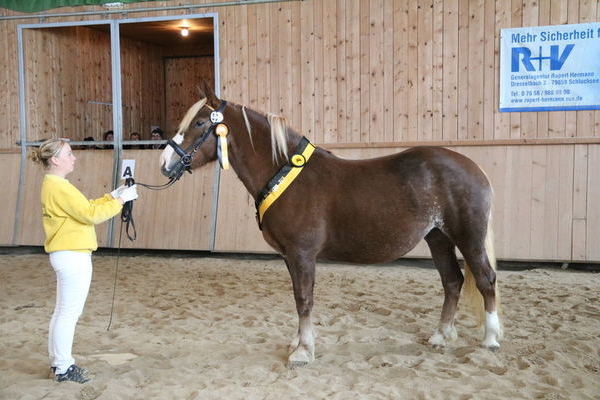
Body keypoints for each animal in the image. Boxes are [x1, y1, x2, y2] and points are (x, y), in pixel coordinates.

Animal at [159, 83, 502, 368]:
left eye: (200, 123)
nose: (164, 163)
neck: (284, 173)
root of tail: (474, 167)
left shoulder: (302, 254)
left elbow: (304, 299)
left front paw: (303, 352)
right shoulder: (290, 257)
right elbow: (299, 297)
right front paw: (299, 342)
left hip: (468, 237)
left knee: (485, 279)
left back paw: (490, 339)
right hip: (438, 237)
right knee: (452, 281)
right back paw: (441, 336)